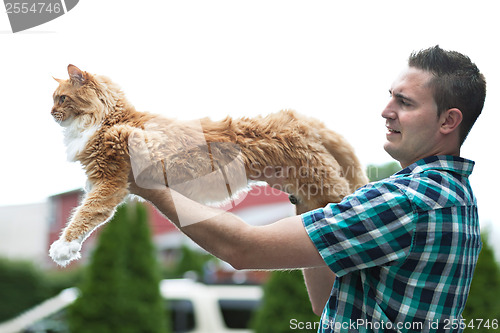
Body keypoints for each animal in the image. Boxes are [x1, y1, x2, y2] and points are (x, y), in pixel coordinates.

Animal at [48, 65, 368, 266]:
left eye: (61, 98)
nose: (51, 113)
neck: (108, 118)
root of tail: (297, 118)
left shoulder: (111, 179)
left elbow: (86, 212)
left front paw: (62, 247)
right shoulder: (111, 183)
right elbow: (90, 211)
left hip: (324, 182)